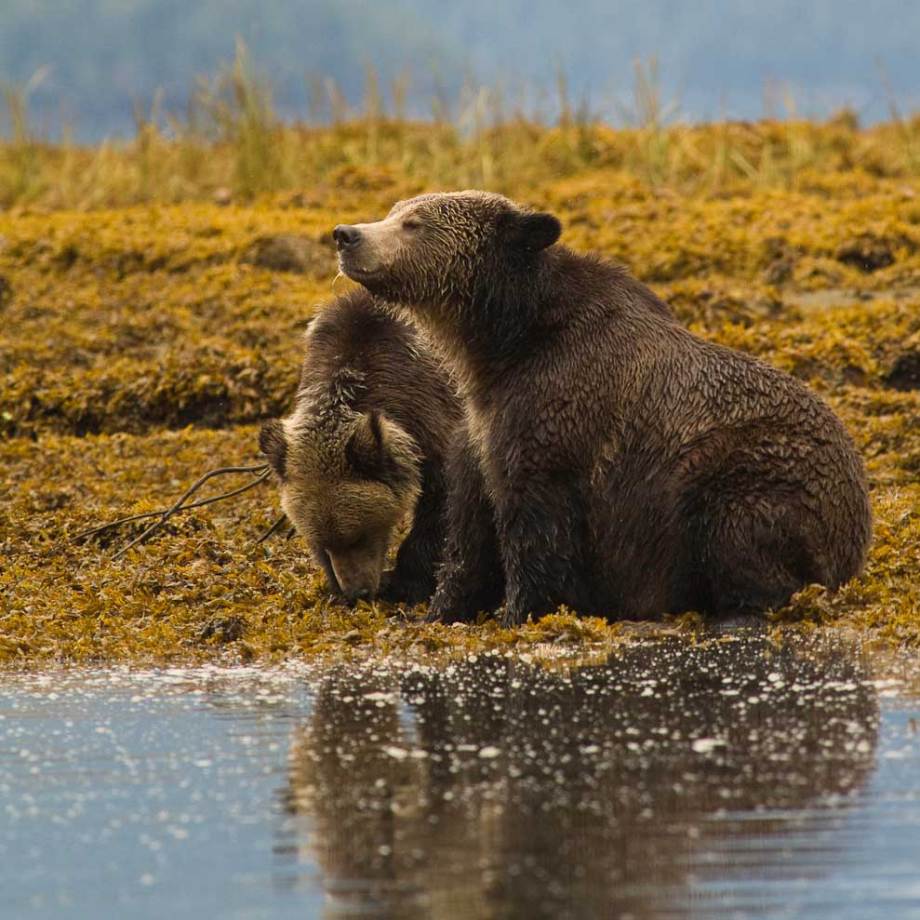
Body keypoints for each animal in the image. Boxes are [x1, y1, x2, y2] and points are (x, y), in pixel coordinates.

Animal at [259, 288, 462, 604]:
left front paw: (408, 581)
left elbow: (438, 506)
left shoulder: (432, 418)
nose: (357, 592)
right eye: (324, 544)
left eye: (359, 535)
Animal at [332, 191, 873, 625]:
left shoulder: (555, 415)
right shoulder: (481, 425)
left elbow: (535, 524)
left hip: (752, 474)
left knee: (739, 527)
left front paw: (519, 611)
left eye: (414, 223)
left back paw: (736, 610)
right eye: (394, 210)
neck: (498, 344)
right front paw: (436, 612)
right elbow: (468, 527)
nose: (346, 234)